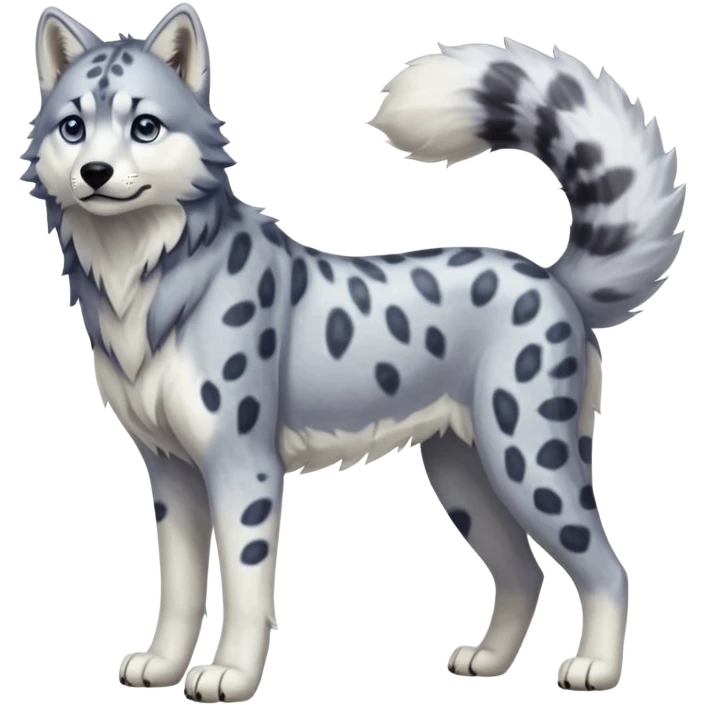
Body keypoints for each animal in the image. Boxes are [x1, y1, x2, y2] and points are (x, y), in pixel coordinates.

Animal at [23, 4, 684, 700]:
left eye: (144, 126)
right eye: (73, 126)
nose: (94, 173)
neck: (142, 277)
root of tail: (553, 279)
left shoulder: (241, 465)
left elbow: (245, 583)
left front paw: (231, 673)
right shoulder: (170, 470)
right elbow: (177, 585)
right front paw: (163, 665)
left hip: (527, 457)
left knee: (608, 567)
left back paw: (597, 669)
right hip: (463, 472)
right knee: (523, 572)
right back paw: (488, 660)